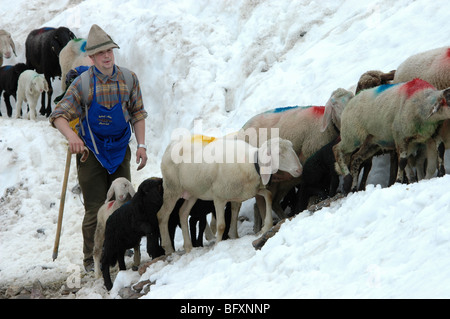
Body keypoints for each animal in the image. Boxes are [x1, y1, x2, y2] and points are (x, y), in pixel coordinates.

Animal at [156, 135, 302, 255]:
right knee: (162, 215)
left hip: (192, 192)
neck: (251, 164)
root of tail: (170, 145)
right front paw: (217, 246)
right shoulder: (219, 197)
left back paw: (188, 247)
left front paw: (262, 227)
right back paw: (168, 248)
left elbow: (267, 196)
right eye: (279, 153)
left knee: (182, 212)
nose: (299, 169)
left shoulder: (244, 193)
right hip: (172, 188)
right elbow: (221, 225)